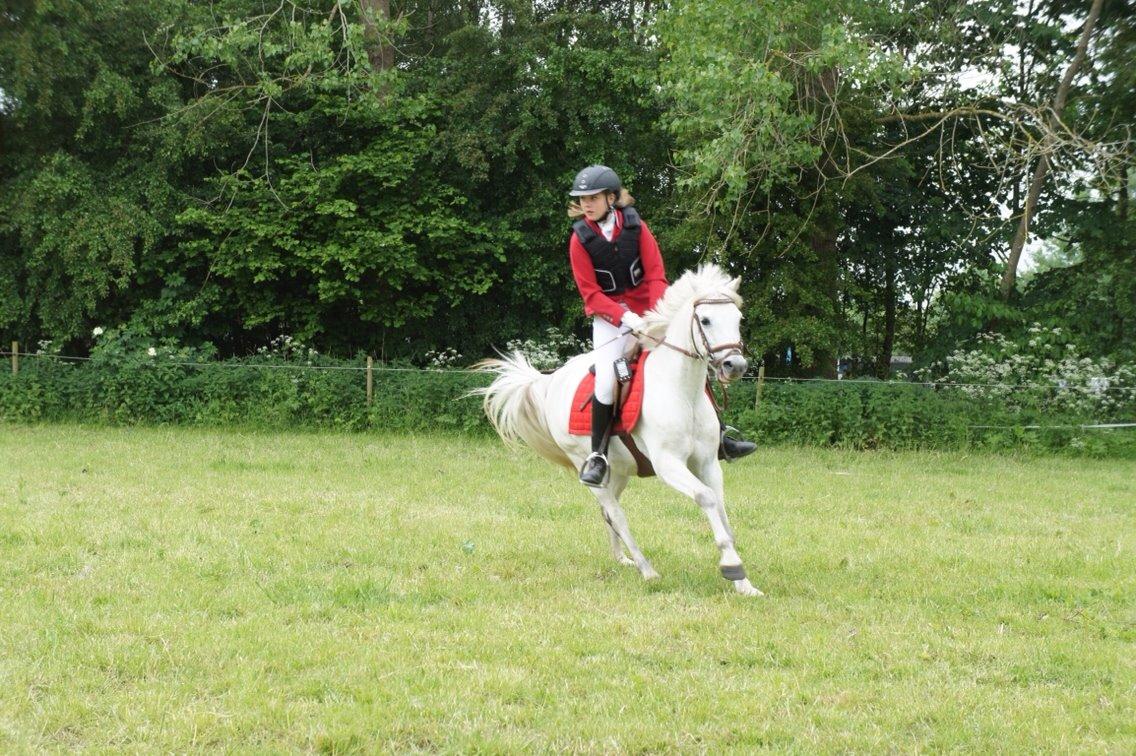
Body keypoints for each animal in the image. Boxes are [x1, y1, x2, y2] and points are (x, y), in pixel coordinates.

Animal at [474, 264, 763, 597]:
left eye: (738, 319)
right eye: (705, 320)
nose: (735, 365)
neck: (681, 390)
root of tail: (553, 381)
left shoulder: (708, 463)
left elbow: (722, 511)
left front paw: (744, 584)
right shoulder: (668, 465)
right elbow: (707, 498)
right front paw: (732, 566)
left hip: (620, 470)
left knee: (609, 512)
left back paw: (622, 558)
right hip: (586, 466)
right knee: (616, 514)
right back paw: (646, 569)